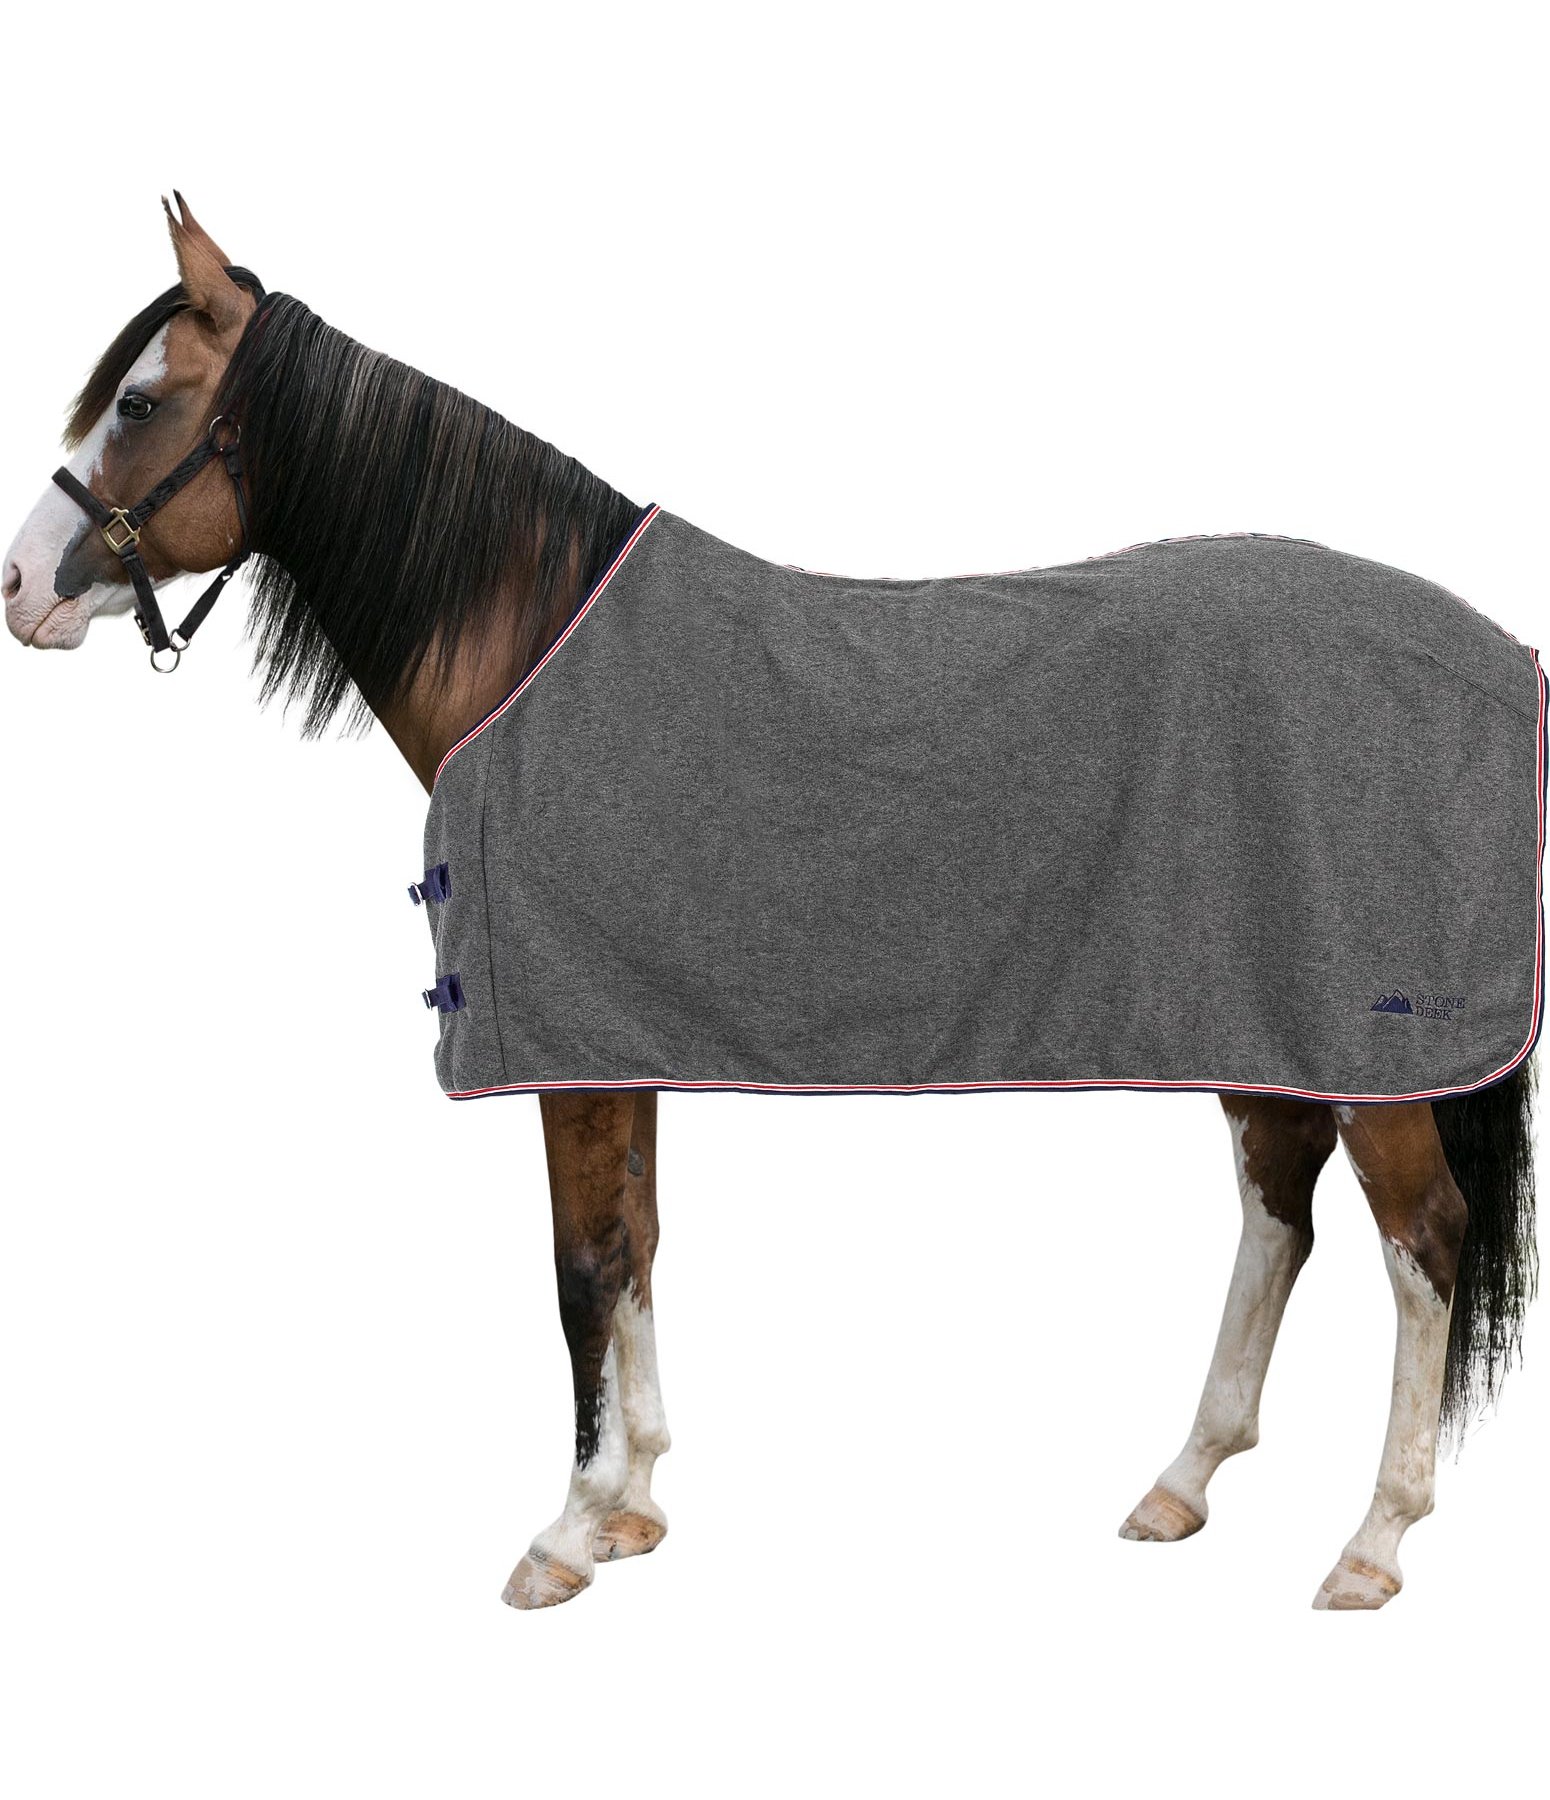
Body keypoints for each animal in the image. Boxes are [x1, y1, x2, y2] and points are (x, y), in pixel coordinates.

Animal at [4, 196, 1539, 1613]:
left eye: (137, 402)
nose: (20, 587)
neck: (528, 651)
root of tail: (1496, 658)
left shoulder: (561, 1050)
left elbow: (579, 1267)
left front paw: (565, 1537)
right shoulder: (612, 1041)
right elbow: (634, 1249)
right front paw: (633, 1501)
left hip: (1373, 1048)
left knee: (1422, 1240)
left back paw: (1370, 1543)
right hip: (1262, 1028)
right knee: (1279, 1208)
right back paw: (1183, 1480)